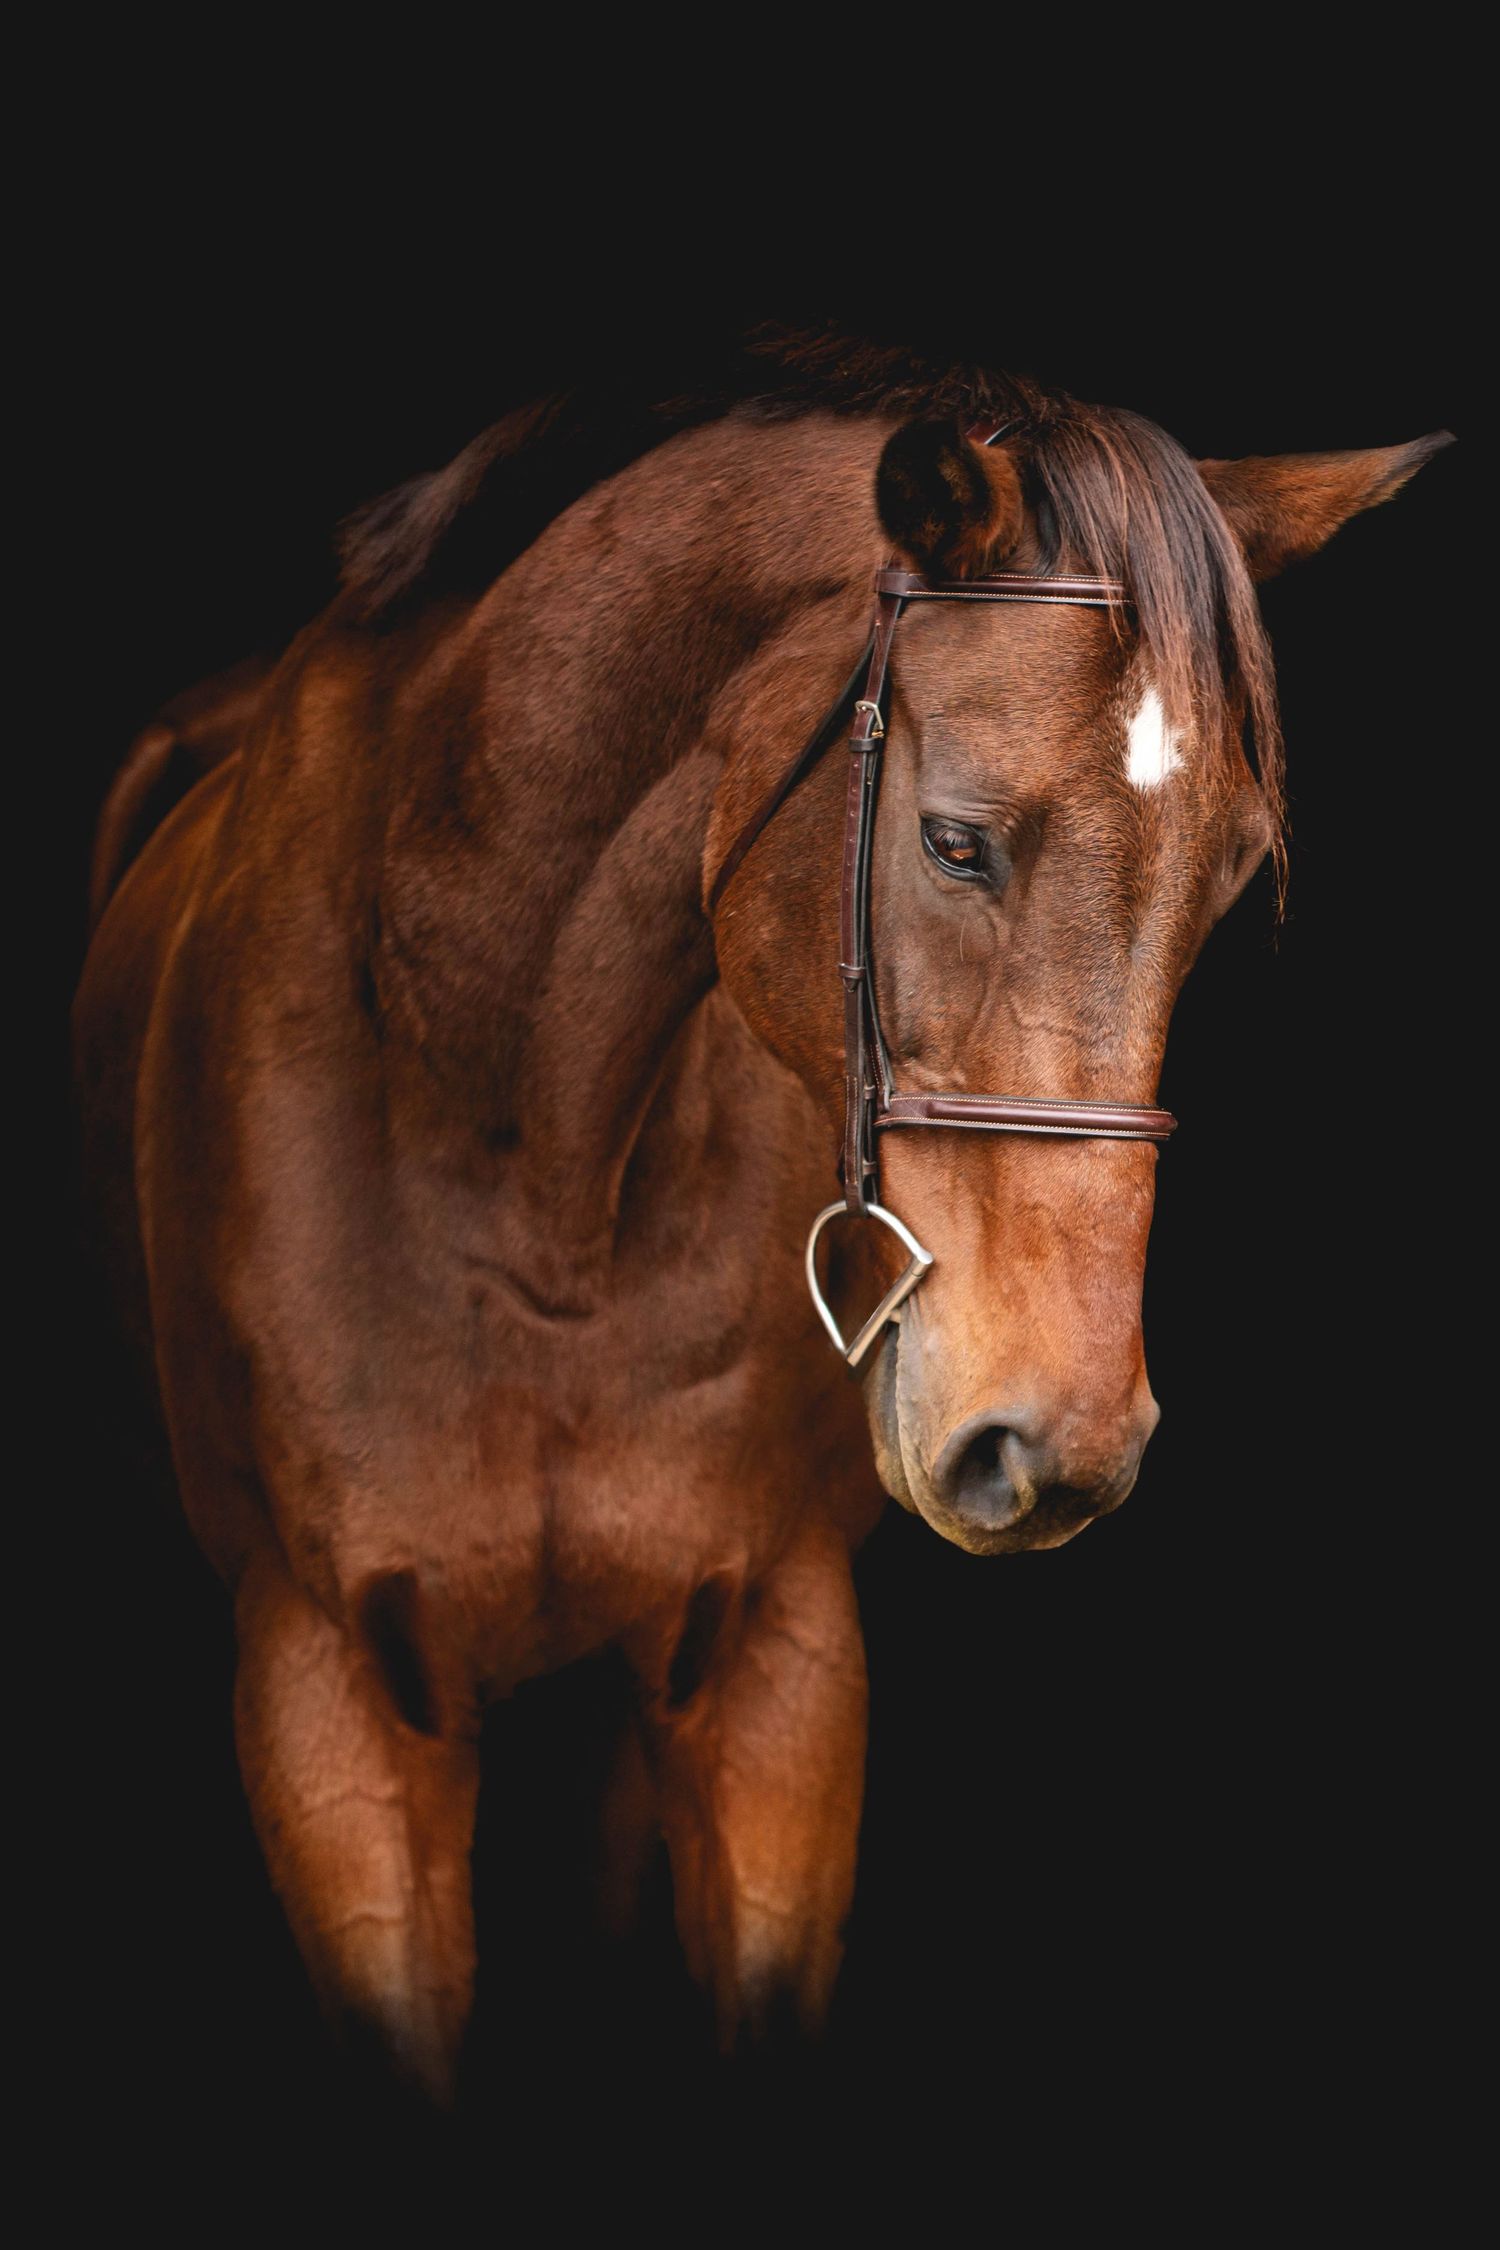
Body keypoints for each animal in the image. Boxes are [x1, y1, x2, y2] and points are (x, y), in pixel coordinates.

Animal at [73, 340, 1450, 2103]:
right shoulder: (323, 1691)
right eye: (954, 840)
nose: (1056, 1445)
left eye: (1228, 880)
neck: (532, 1179)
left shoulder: (775, 1663)